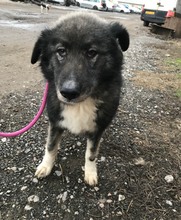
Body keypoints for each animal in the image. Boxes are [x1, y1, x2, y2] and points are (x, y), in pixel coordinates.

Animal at [31, 12, 130, 186]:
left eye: (91, 52)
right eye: (61, 51)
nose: (68, 93)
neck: (80, 105)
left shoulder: (97, 128)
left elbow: (91, 154)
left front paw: (90, 173)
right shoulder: (55, 122)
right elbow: (51, 146)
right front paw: (46, 166)